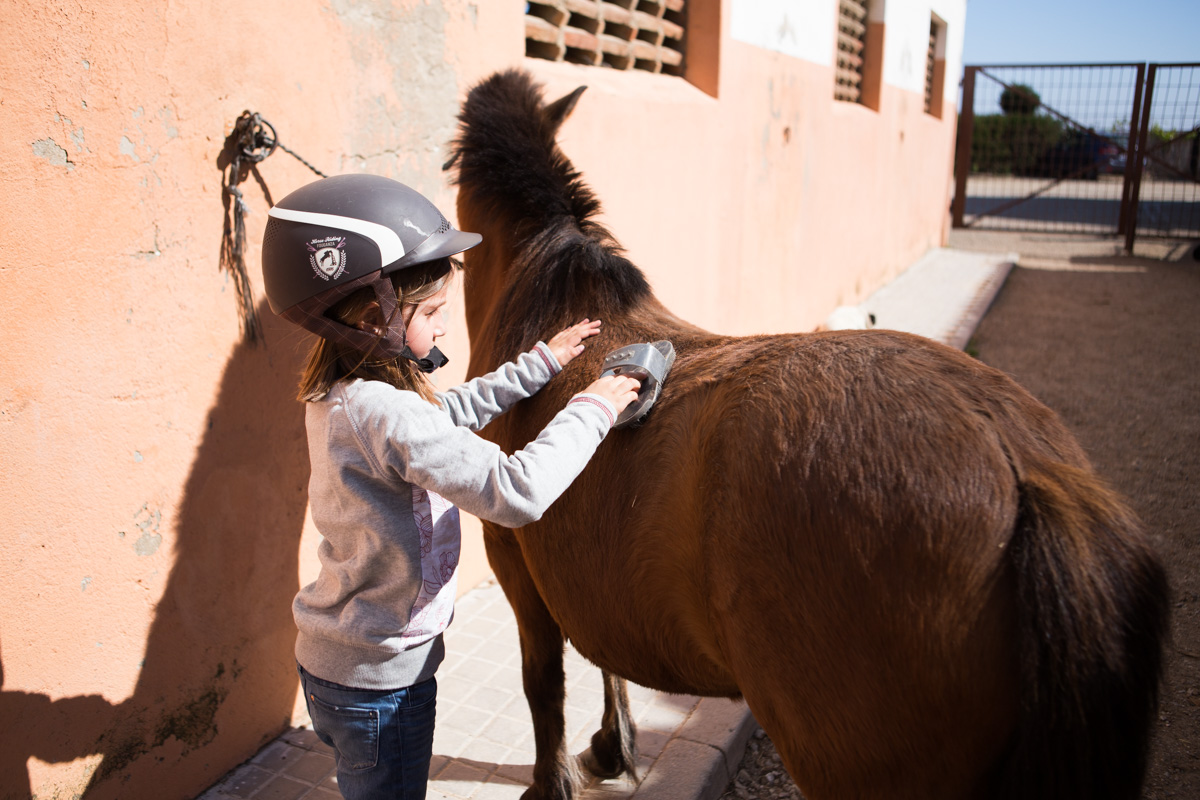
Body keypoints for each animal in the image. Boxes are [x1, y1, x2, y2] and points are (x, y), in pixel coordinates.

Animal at [446, 70, 1166, 800]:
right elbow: (605, 657)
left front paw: (558, 775)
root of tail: (1019, 461)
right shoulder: (584, 566)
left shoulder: (513, 558)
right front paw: (611, 747)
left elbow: (545, 680)